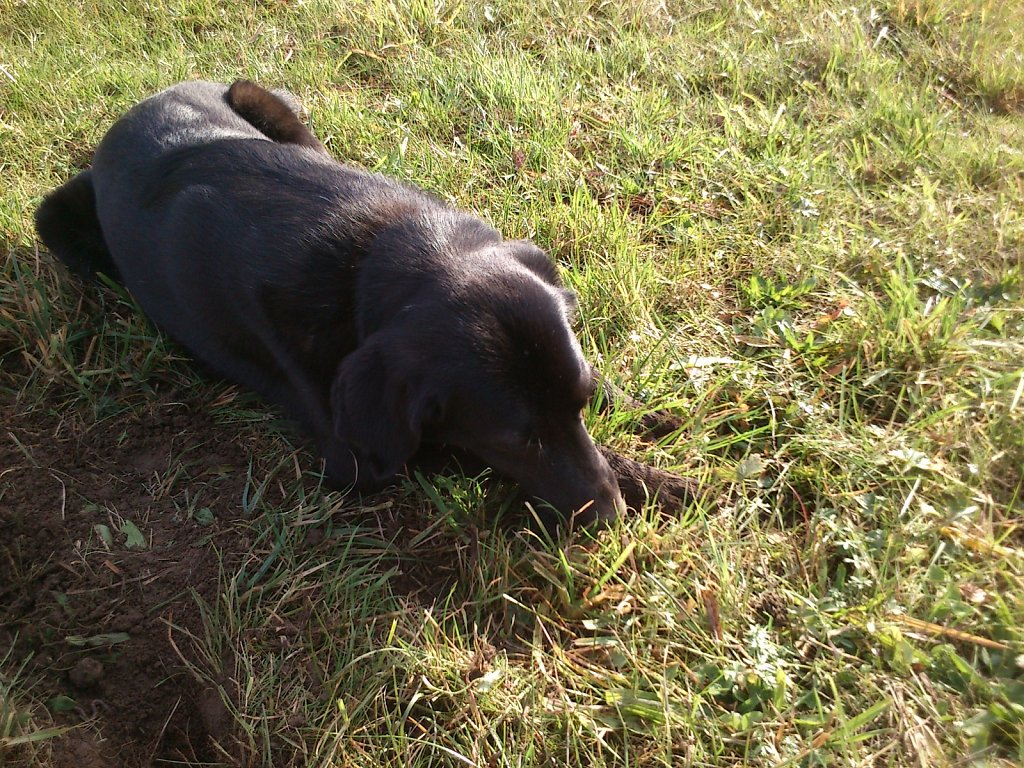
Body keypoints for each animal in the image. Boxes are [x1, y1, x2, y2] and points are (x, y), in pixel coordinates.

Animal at [39, 82, 696, 528]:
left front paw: (649, 415)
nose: (610, 517)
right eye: (516, 442)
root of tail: (133, 110)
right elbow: (456, 444)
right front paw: (658, 480)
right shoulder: (362, 457)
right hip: (59, 225)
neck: (378, 251)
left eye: (580, 405)